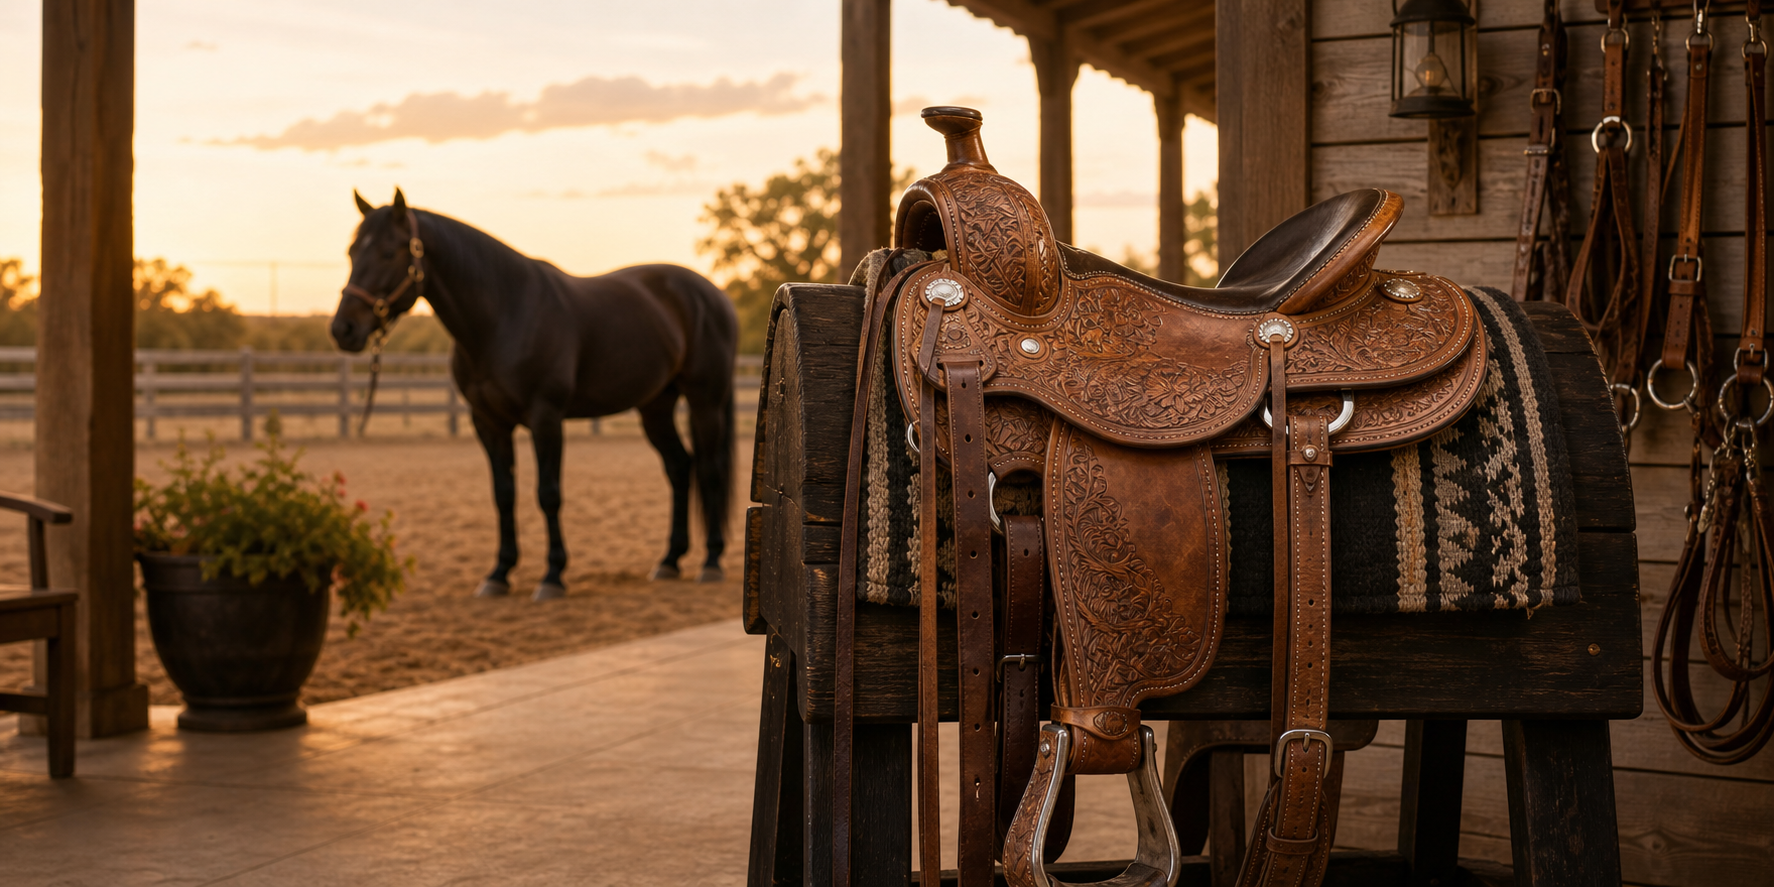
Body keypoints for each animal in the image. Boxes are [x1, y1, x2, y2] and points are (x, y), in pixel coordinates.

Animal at [329, 188, 738, 601]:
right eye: (352, 251)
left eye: (388, 252)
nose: (343, 329)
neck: (504, 316)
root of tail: (715, 295)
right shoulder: (489, 423)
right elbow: (504, 494)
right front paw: (499, 573)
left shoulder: (546, 419)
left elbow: (548, 493)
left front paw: (552, 576)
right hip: (655, 406)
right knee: (679, 467)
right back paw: (669, 561)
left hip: (705, 401)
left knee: (709, 470)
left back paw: (712, 561)